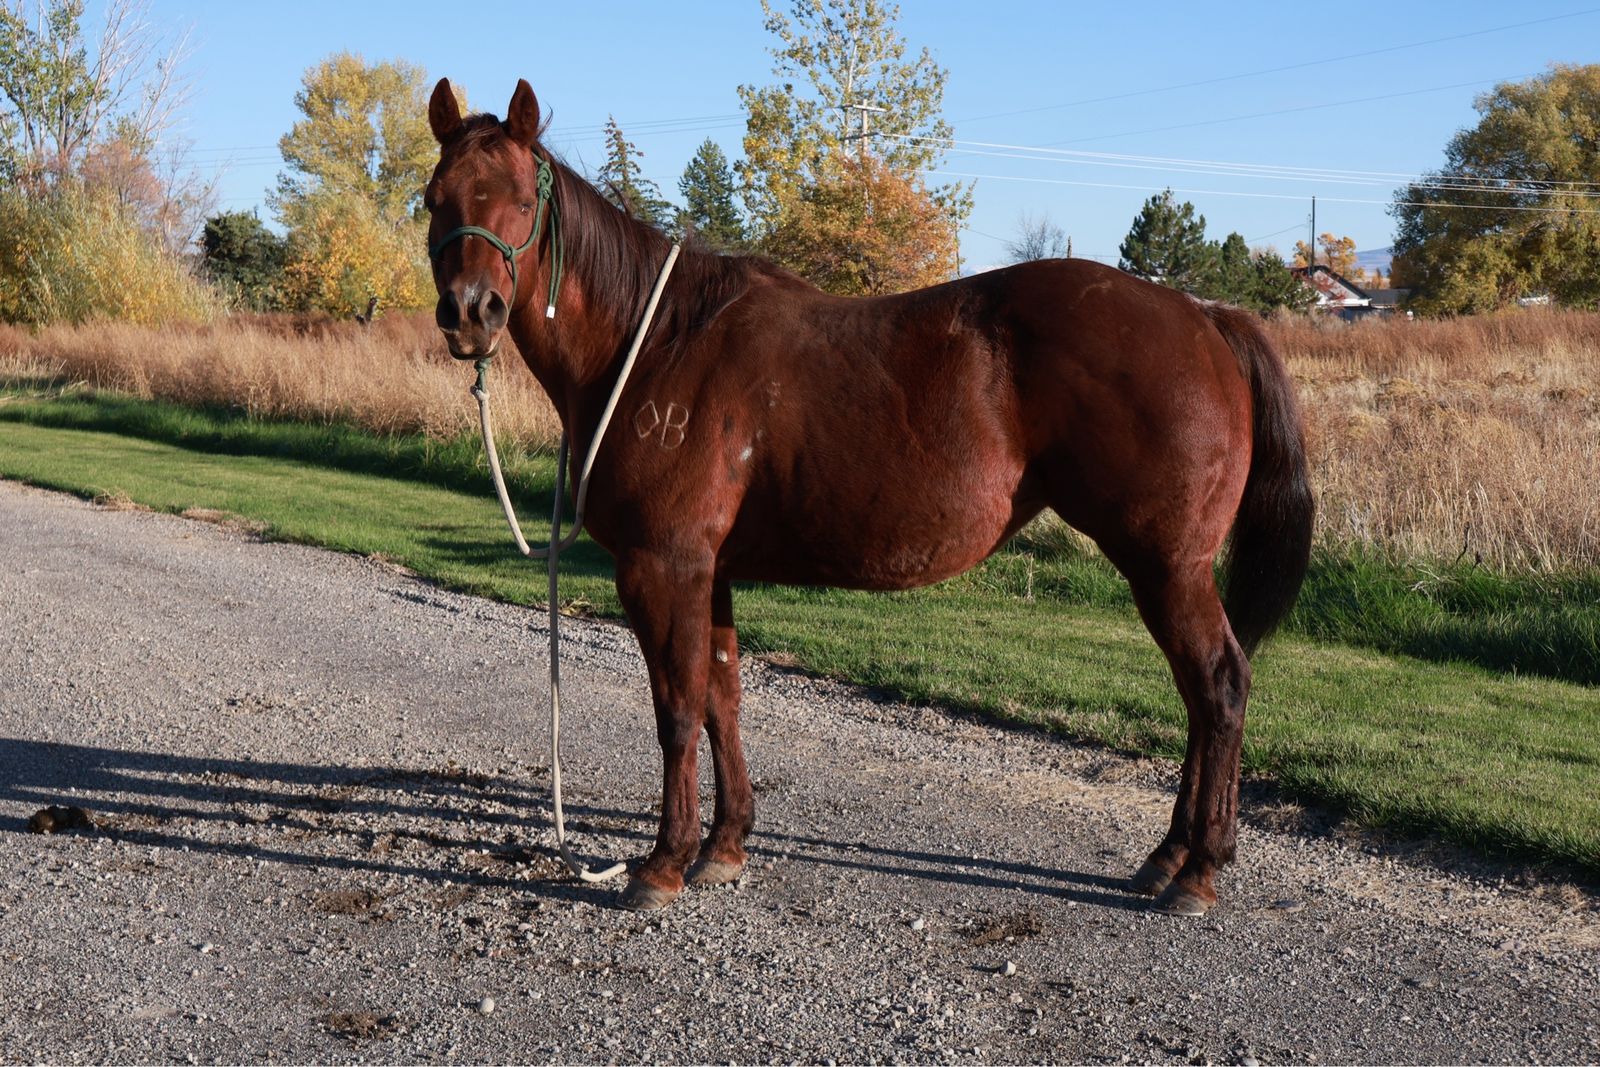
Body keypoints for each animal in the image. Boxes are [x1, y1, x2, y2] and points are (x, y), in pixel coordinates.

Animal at [423, 79, 1314, 917]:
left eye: (518, 197)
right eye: (435, 199)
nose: (469, 313)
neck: (659, 343)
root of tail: (1204, 315)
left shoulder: (662, 566)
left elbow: (676, 709)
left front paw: (663, 862)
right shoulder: (710, 571)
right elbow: (721, 700)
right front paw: (725, 845)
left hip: (1167, 565)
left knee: (1218, 687)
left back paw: (1198, 867)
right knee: (1201, 698)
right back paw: (1169, 856)